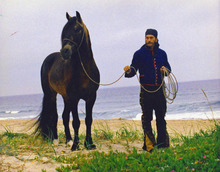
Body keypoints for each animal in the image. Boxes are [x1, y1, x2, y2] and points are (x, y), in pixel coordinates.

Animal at [35, 11, 99, 150]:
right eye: (64, 31)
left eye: (77, 29)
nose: (65, 52)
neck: (84, 70)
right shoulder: (74, 97)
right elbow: (76, 122)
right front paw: (76, 145)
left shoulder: (91, 97)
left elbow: (88, 120)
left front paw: (89, 143)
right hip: (51, 94)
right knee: (54, 115)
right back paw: (56, 140)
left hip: (66, 97)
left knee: (64, 117)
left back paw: (68, 140)